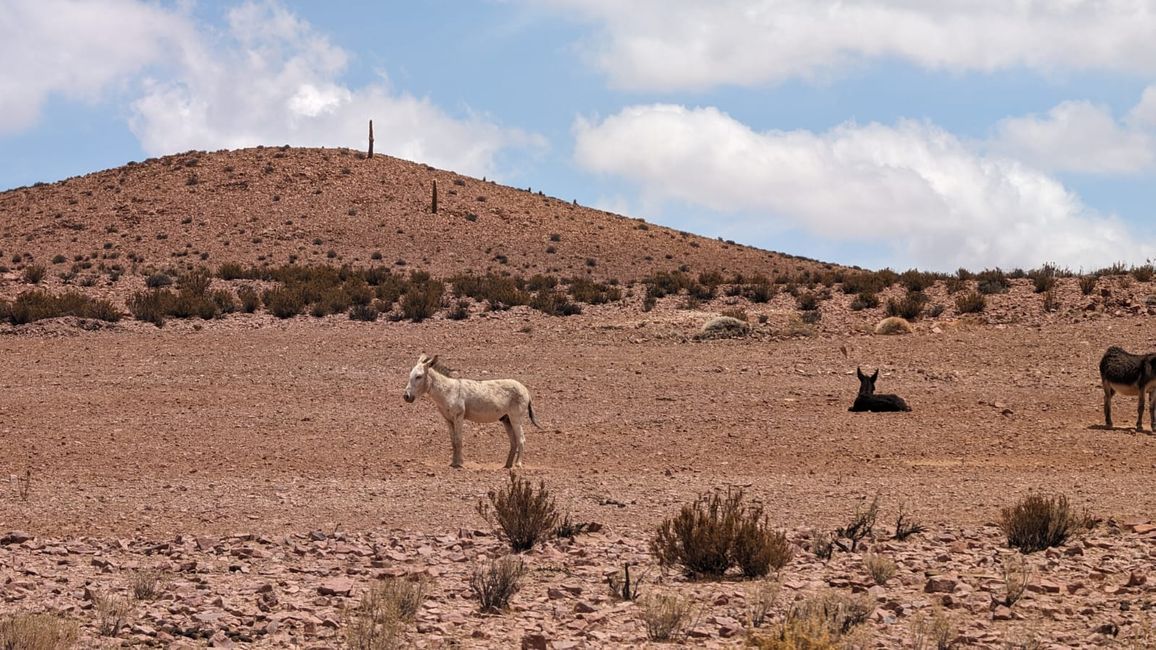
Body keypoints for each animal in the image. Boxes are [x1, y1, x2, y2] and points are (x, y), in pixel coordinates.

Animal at [403, 354, 542, 468]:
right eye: (410, 376)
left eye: (419, 376)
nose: (406, 396)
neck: (448, 391)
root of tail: (525, 389)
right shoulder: (448, 420)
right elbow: (453, 441)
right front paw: (453, 462)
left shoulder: (458, 417)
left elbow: (458, 440)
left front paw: (459, 464)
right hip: (506, 419)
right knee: (513, 441)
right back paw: (507, 465)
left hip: (515, 418)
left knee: (521, 439)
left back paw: (518, 464)